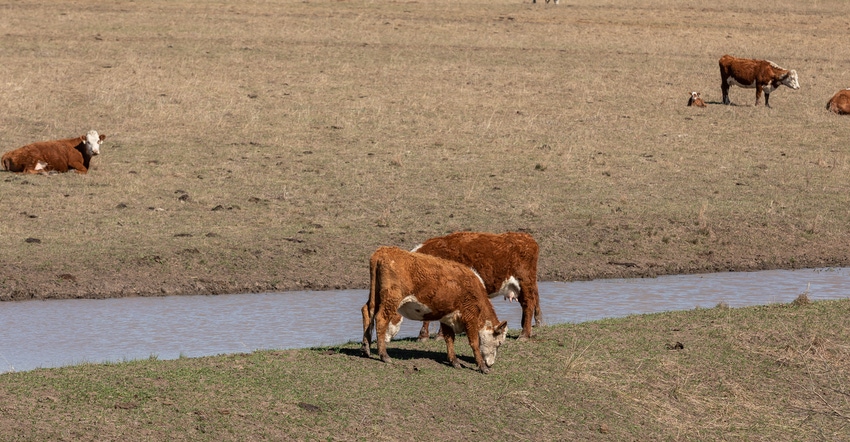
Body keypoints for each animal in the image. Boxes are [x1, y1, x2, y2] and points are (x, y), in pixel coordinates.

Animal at [358, 247, 504, 374]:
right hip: (391, 299)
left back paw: (366, 348)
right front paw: (482, 367)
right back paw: (384, 355)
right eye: (499, 343)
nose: (491, 363)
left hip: (376, 296)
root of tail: (383, 251)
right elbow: (474, 343)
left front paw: (454, 361)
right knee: (381, 319)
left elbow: (449, 339)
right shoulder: (470, 317)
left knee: (367, 311)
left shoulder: (447, 317)